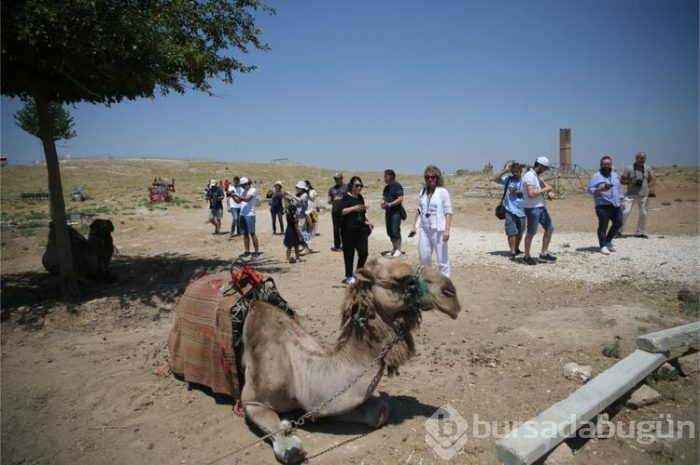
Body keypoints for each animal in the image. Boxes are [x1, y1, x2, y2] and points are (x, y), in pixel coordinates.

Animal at [238, 256, 462, 462]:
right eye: (401, 277)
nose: (451, 293)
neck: (300, 376)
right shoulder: (252, 400)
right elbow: (292, 450)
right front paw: (286, 428)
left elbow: (378, 411)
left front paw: (312, 419)